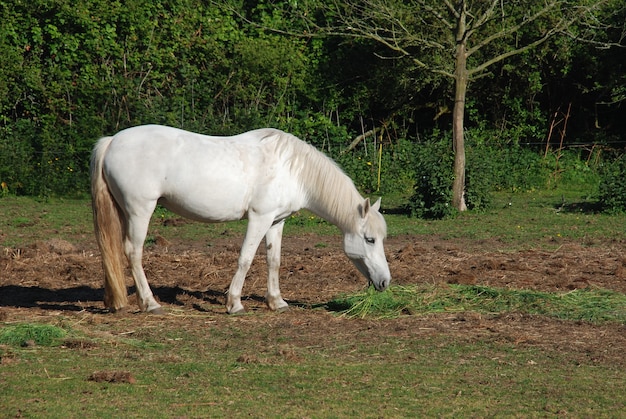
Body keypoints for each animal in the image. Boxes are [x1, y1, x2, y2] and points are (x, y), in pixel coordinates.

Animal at [89, 124, 388, 316]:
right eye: (369, 239)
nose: (385, 282)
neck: (292, 169)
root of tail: (112, 141)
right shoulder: (259, 218)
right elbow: (246, 258)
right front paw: (234, 304)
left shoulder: (276, 222)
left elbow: (273, 260)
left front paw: (276, 302)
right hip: (140, 211)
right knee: (133, 252)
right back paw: (150, 304)